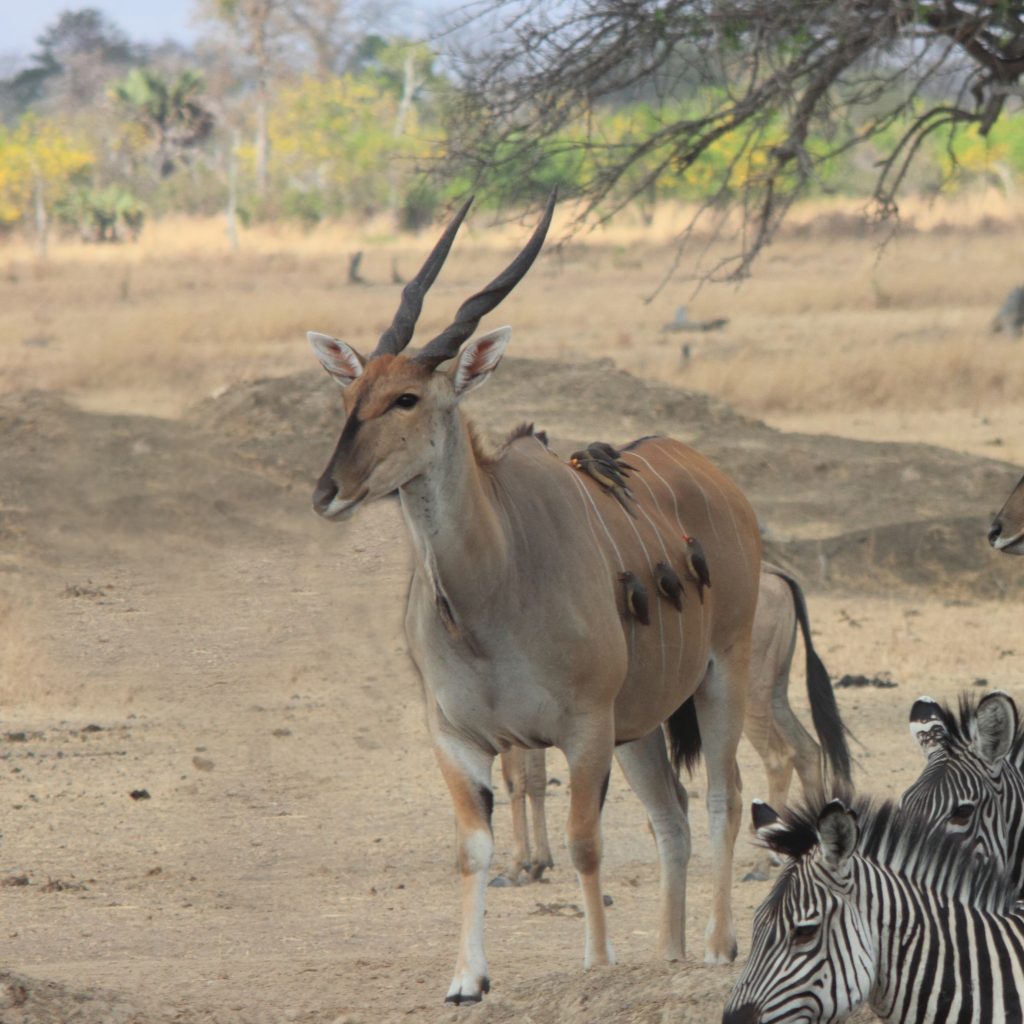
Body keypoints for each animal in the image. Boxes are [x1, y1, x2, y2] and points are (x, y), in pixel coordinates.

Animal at [307, 195, 765, 1003]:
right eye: (350, 397)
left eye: (406, 398)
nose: (328, 491)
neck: (488, 595)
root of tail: (720, 483)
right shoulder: (458, 738)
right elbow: (474, 850)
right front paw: (467, 978)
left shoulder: (582, 730)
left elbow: (585, 844)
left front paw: (597, 963)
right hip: (639, 727)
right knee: (672, 819)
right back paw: (668, 951)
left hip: (720, 676)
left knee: (721, 798)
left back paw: (715, 946)